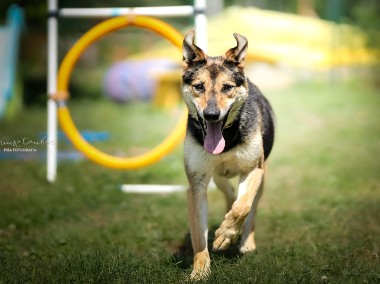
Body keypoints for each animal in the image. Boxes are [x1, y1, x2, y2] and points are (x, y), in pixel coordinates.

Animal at [182, 31, 276, 280]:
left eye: (227, 87)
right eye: (199, 86)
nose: (211, 115)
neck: (227, 136)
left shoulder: (253, 170)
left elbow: (243, 207)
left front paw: (225, 235)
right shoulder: (197, 183)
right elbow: (199, 235)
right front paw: (200, 270)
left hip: (261, 177)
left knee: (249, 208)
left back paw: (245, 242)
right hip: (218, 177)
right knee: (230, 194)